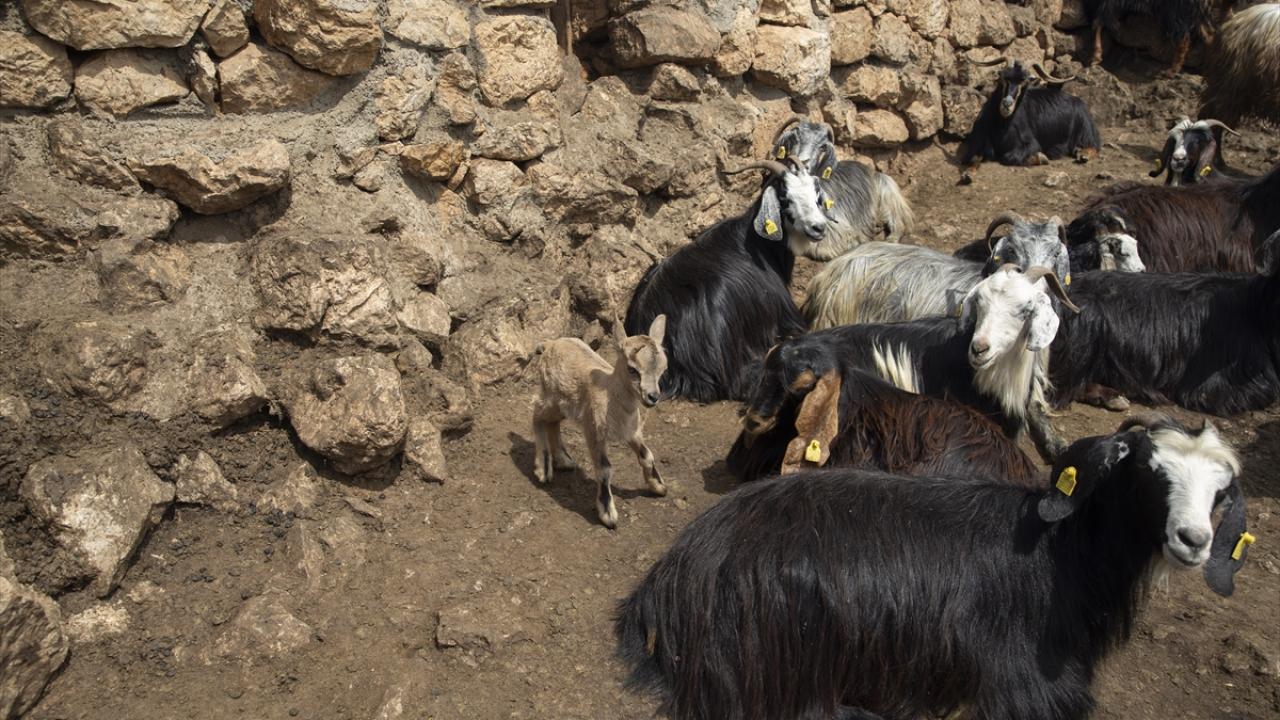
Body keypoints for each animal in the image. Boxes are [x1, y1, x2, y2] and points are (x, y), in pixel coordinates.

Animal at [530, 315, 668, 529]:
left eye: (663, 368)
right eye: (632, 369)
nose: (652, 397)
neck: (611, 395)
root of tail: (549, 344)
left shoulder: (631, 431)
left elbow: (647, 455)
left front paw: (658, 486)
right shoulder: (594, 430)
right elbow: (604, 469)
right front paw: (608, 514)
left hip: (563, 405)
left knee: (552, 422)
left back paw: (564, 460)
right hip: (549, 396)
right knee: (536, 410)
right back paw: (543, 468)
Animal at [615, 415, 1253, 720]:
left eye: (1222, 491)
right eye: (1146, 470)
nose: (1193, 540)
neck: (1062, 556)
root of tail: (674, 575)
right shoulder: (1027, 689)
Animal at [770, 117, 915, 259]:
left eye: (822, 146)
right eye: (796, 137)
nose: (801, 164)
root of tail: (870, 170)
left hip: (887, 192)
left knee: (898, 221)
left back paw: (890, 237)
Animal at [959, 61, 1101, 185]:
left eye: (1024, 81)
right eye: (1003, 77)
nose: (1007, 104)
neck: (1002, 126)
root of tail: (1076, 100)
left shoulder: (1030, 142)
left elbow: (1009, 157)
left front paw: (1041, 158)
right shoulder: (978, 142)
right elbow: (973, 158)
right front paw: (967, 174)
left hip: (1084, 126)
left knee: (1094, 145)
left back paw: (1083, 155)